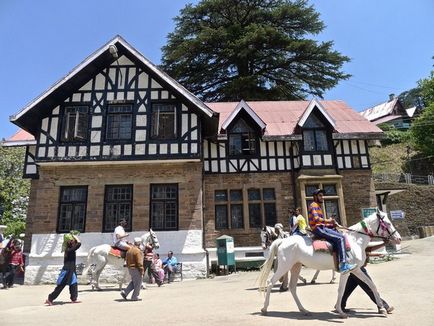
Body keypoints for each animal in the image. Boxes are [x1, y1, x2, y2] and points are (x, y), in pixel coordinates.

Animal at [258, 209, 404, 318]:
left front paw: (383, 309)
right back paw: (264, 308)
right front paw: (340, 311)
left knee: (293, 287)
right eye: (387, 223)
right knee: (270, 282)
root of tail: (283, 241)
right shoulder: (347, 271)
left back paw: (304, 310)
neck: (355, 240)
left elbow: (371, 285)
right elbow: (341, 290)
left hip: (295, 266)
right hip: (285, 266)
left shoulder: (356, 270)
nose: (399, 238)